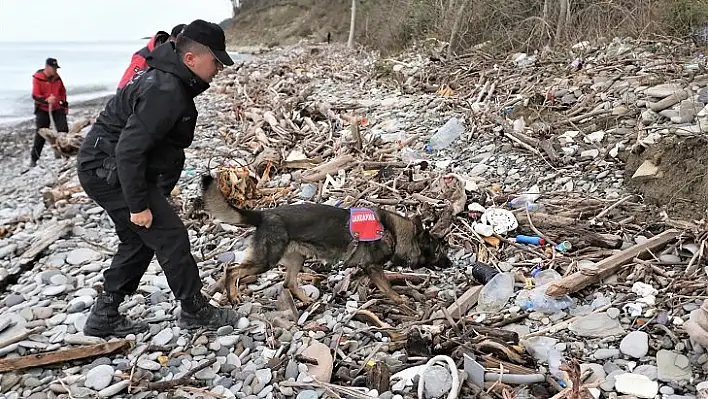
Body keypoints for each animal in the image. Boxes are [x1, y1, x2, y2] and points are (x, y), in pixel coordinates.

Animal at [202, 175, 450, 306]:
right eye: (439, 250)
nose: (451, 263)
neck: (393, 232)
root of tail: (263, 215)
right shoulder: (372, 267)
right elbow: (387, 286)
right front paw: (399, 299)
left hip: (296, 258)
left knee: (289, 283)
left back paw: (306, 300)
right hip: (265, 261)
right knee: (232, 270)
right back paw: (233, 295)